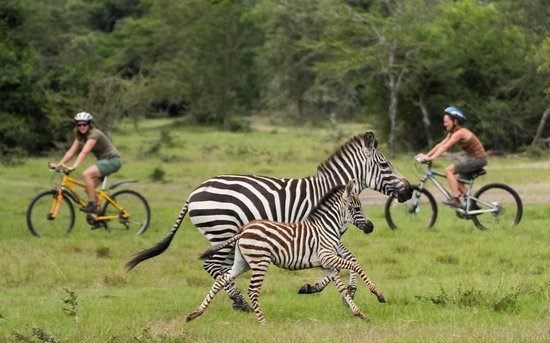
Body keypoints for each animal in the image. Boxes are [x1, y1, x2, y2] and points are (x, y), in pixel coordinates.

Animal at [185, 180, 384, 326]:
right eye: (357, 208)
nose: (371, 227)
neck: (326, 227)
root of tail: (243, 230)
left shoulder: (326, 264)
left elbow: (341, 287)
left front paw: (360, 313)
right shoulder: (327, 257)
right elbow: (356, 265)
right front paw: (378, 294)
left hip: (242, 263)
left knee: (221, 280)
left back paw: (195, 313)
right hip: (260, 261)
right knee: (252, 290)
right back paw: (263, 323)